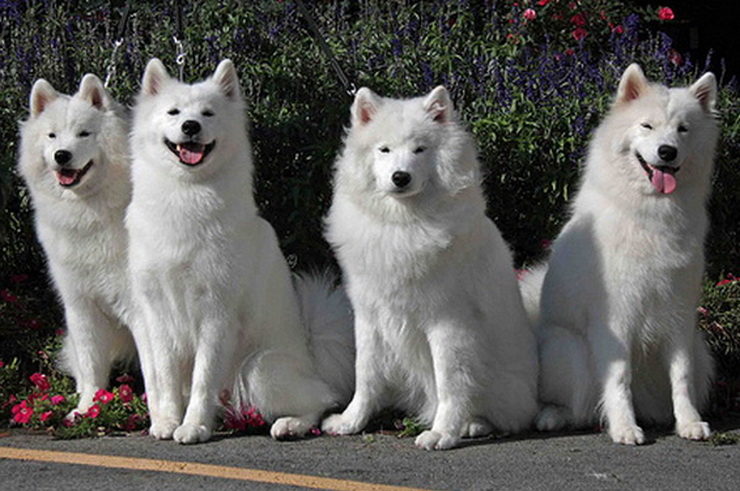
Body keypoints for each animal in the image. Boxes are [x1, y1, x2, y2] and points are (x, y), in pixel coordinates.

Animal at [18, 75, 135, 418]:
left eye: (84, 133)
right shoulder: (81, 306)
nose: (62, 155)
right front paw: (87, 408)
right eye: (52, 135)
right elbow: (92, 365)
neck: (89, 214)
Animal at [125, 59, 354, 444]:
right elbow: (167, 378)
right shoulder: (158, 315)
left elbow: (202, 381)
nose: (191, 126)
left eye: (208, 113)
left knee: (321, 401)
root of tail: (311, 357)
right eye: (173, 112)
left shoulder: (216, 314)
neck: (186, 194)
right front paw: (168, 422)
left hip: (260, 369)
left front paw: (194, 426)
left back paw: (290, 425)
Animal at [322, 85, 536, 450]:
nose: (400, 177)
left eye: (419, 149)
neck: (402, 224)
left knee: (502, 413)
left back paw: (471, 425)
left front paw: (442, 433)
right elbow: (365, 375)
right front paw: (351, 421)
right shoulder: (369, 317)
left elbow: (450, 383)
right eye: (384, 149)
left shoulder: (448, 322)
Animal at [520, 64, 724, 446]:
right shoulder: (615, 318)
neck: (652, 215)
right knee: (578, 405)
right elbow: (618, 378)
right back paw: (554, 417)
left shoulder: (679, 316)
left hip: (701, 348)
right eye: (647, 126)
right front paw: (625, 427)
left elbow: (681, 377)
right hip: (570, 350)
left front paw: (689, 422)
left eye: (683, 129)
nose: (667, 151)